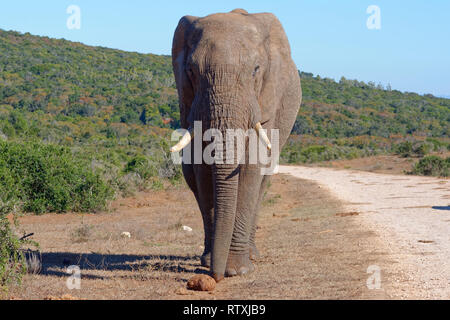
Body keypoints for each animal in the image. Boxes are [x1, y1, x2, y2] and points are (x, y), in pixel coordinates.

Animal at [171, 8, 300, 282]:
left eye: (255, 70)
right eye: (191, 71)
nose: (216, 277)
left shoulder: (267, 99)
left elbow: (252, 167)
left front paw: (237, 270)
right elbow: (202, 168)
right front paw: (214, 265)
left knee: (263, 182)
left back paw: (251, 256)